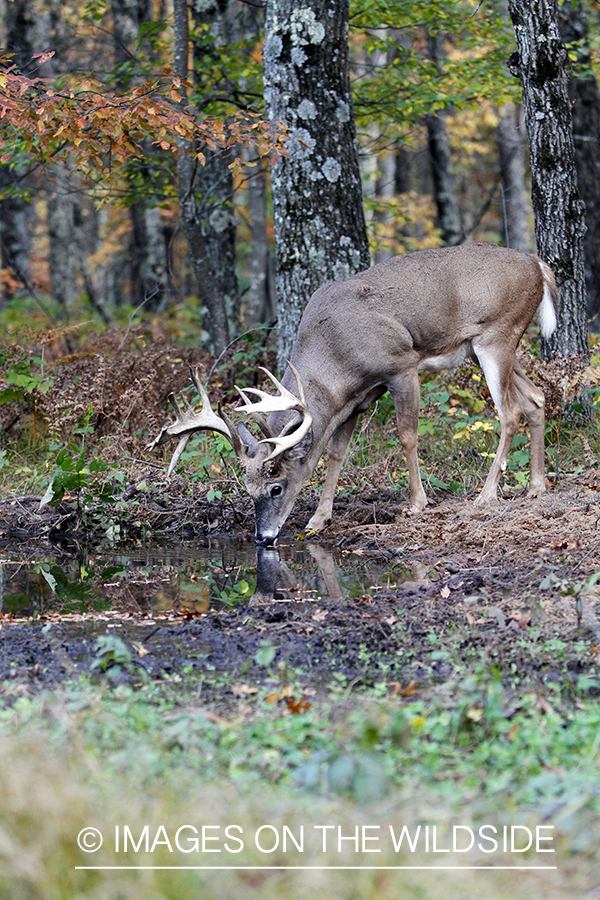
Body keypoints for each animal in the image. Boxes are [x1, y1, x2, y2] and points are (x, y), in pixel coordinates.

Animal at [149, 243, 556, 544]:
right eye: (248, 490)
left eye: (276, 487)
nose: (262, 538)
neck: (336, 355)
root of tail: (537, 265)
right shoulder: (355, 401)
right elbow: (335, 454)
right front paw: (318, 519)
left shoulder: (401, 365)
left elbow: (407, 436)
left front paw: (416, 503)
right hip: (488, 347)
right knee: (536, 399)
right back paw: (536, 487)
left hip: (496, 334)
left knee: (509, 412)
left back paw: (487, 495)